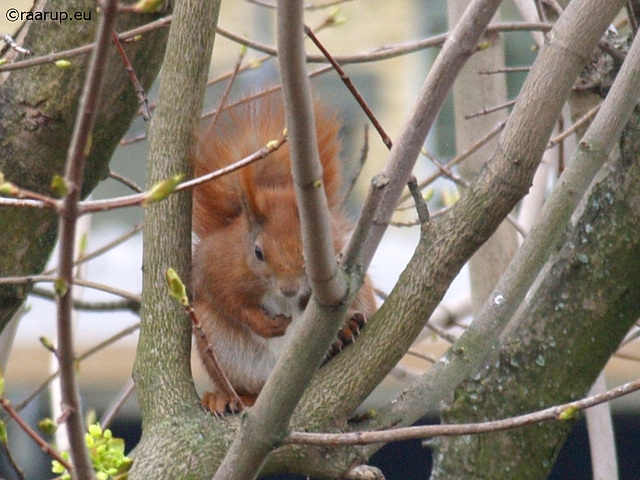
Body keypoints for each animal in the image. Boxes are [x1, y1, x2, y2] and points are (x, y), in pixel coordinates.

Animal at [192, 94, 378, 412]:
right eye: (258, 252)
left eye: (313, 250)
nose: (289, 289)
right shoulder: (218, 266)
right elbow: (228, 300)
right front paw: (263, 323)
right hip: (222, 350)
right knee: (249, 387)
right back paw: (227, 398)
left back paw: (343, 334)